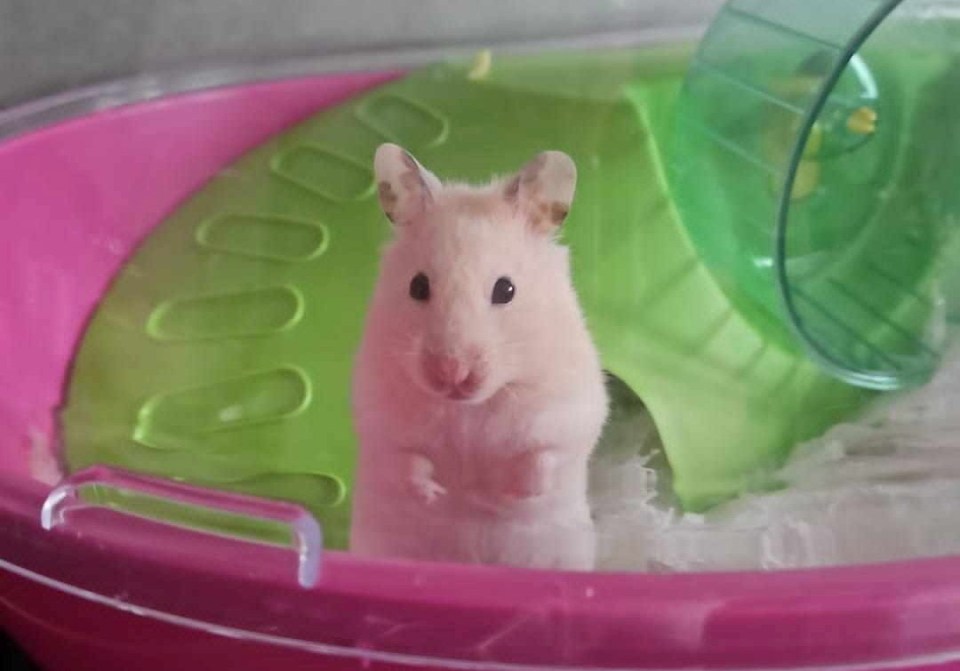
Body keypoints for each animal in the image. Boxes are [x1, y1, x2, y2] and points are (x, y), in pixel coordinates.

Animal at [350, 143, 608, 572]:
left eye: (506, 289)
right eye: (417, 286)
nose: (452, 373)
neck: (467, 408)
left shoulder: (573, 409)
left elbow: (544, 455)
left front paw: (506, 494)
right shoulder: (376, 414)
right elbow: (405, 460)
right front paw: (436, 493)